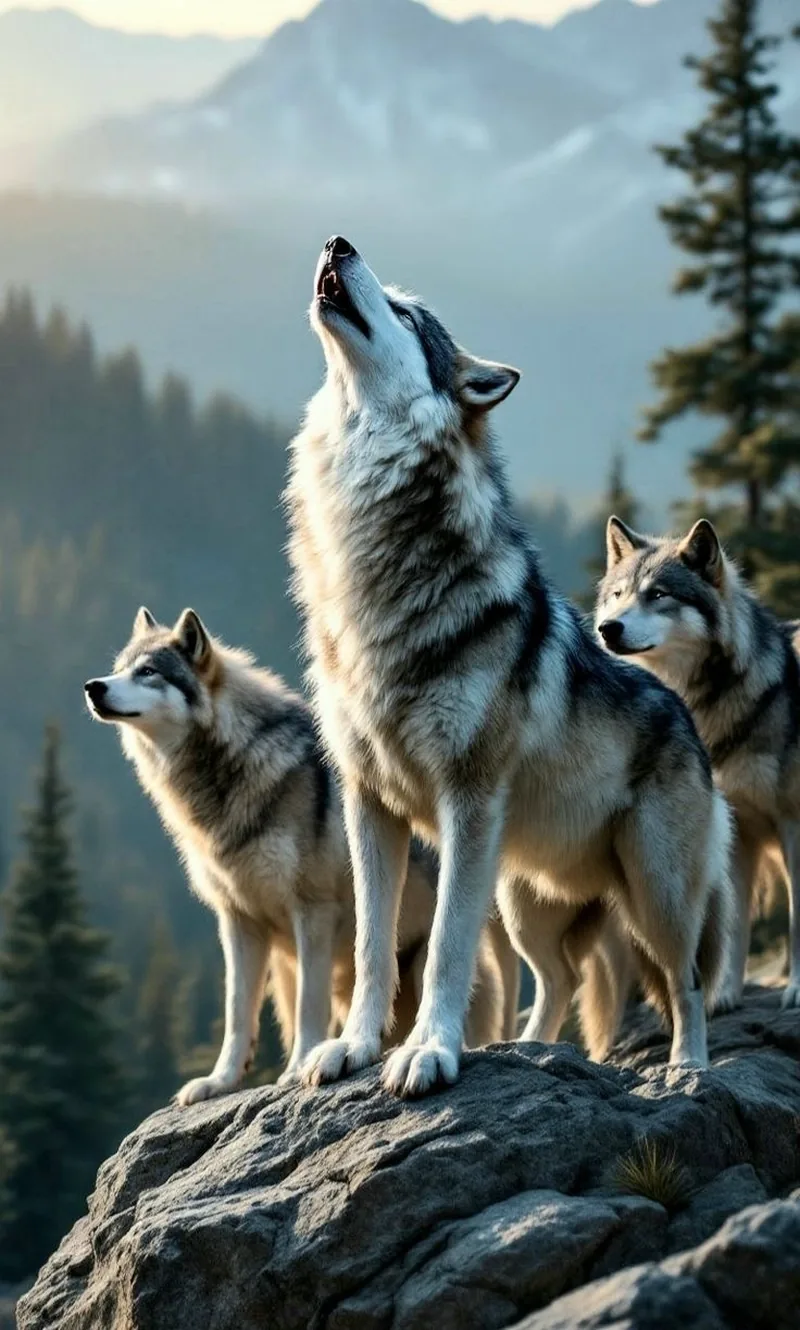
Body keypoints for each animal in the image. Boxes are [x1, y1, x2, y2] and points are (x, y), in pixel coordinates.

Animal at [84, 607, 510, 1105]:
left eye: (148, 672)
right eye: (119, 667)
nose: (94, 687)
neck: (227, 775)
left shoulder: (313, 914)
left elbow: (309, 1005)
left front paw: (298, 1069)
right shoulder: (239, 922)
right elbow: (237, 1014)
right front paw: (220, 1082)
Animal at [285, 235, 734, 1097]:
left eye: (406, 314)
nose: (336, 243)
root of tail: (682, 712)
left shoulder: (466, 802)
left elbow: (445, 952)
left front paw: (428, 1051)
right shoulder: (370, 805)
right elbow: (369, 949)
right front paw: (353, 1047)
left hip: (653, 891)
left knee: (687, 980)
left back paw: (688, 1069)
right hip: (524, 897)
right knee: (559, 979)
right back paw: (526, 1050)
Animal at [596, 515, 800, 1009]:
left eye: (658, 595)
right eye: (618, 594)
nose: (608, 628)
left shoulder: (792, 823)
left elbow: (797, 918)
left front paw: (797, 989)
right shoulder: (739, 833)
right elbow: (736, 922)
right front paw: (725, 994)